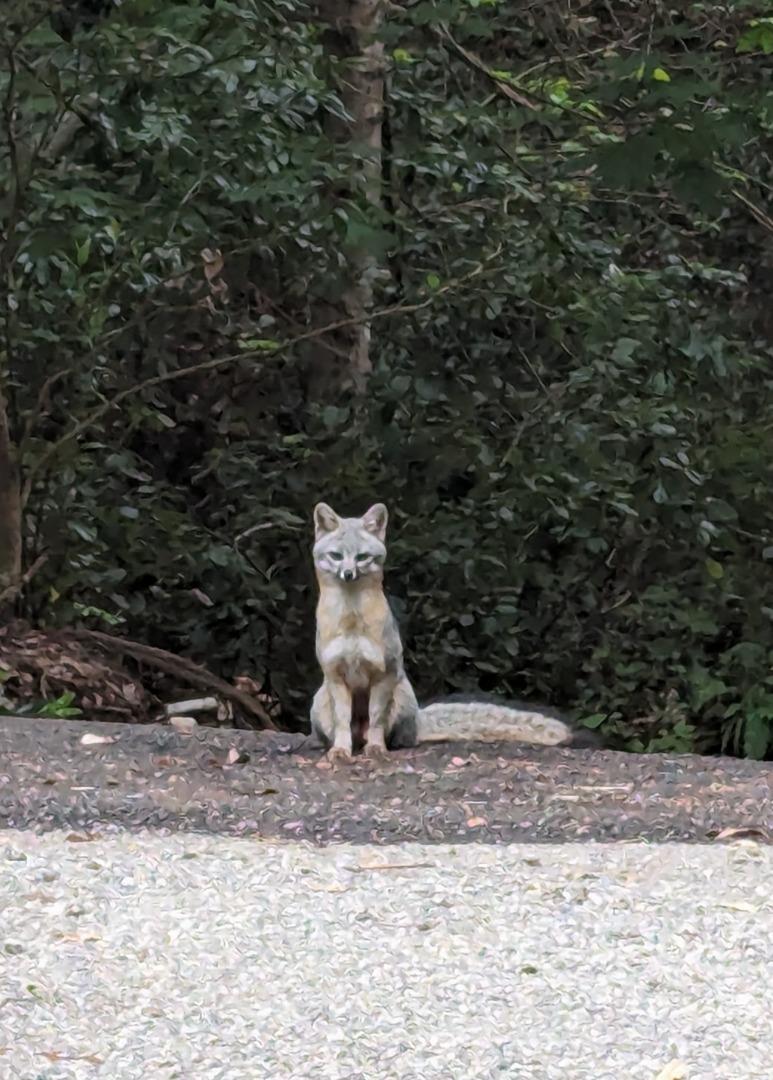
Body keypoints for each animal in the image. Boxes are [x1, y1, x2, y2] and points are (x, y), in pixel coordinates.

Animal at [308, 501, 591, 764]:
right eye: (336, 556)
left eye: (361, 557)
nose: (348, 573)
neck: (351, 621)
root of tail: (419, 719)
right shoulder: (335, 675)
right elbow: (342, 722)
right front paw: (341, 751)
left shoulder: (385, 672)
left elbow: (376, 719)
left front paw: (376, 749)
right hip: (321, 701)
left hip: (400, 692)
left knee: (396, 736)